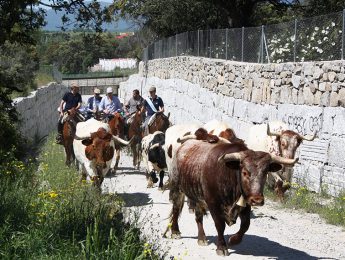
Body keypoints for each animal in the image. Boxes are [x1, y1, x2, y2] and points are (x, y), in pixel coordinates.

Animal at [167, 140, 296, 256]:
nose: (257, 200)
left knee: (198, 217)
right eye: (244, 172)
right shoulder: (213, 203)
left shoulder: (246, 204)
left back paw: (202, 238)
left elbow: (246, 224)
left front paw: (234, 240)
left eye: (265, 173)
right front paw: (222, 247)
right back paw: (175, 232)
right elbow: (220, 225)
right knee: (176, 209)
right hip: (177, 189)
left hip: (198, 197)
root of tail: (183, 146)